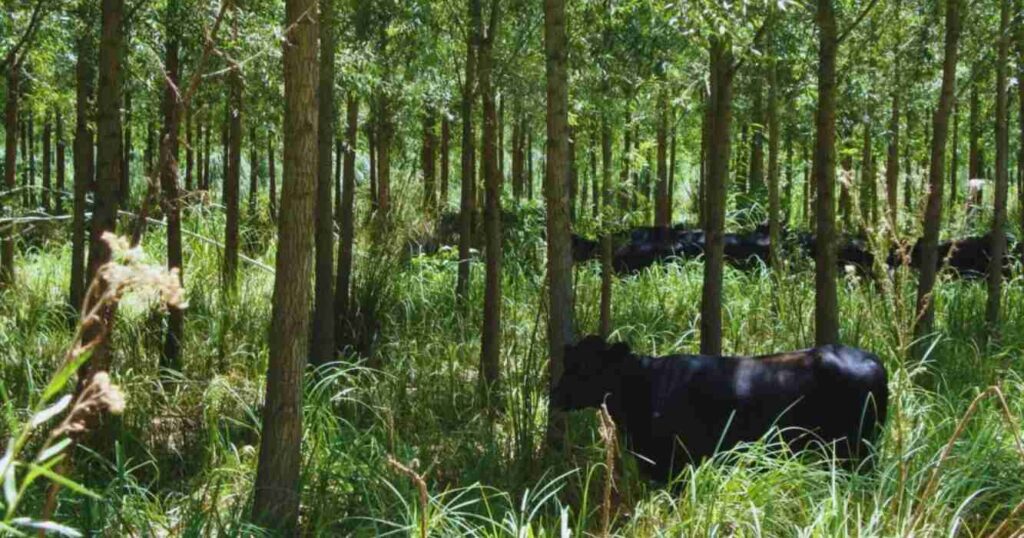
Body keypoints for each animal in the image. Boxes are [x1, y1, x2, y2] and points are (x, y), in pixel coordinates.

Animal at [552, 334, 888, 479]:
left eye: (587, 368)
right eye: (568, 362)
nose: (554, 395)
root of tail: (872, 359)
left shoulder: (673, 463)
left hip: (855, 451)